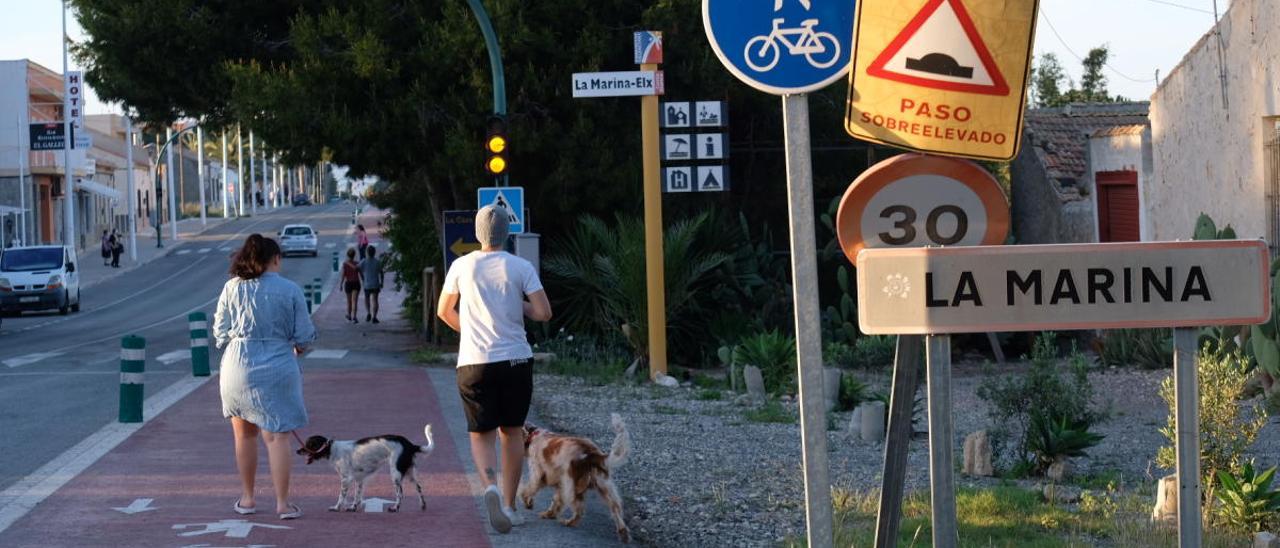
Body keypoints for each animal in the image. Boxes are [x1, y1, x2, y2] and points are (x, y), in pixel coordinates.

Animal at [296, 425, 437, 514]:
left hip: (395, 473)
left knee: (400, 494)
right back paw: (423, 505)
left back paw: (395, 508)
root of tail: (409, 444)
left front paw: (336, 508)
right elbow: (357, 496)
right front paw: (353, 508)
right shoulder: (359, 479)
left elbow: (341, 496)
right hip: (409, 472)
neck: (332, 449)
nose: (297, 451)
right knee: (419, 487)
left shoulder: (346, 479)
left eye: (310, 445)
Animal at [519, 412, 629, 540]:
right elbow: (555, 500)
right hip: (604, 487)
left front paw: (528, 503)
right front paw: (549, 514)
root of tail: (591, 453)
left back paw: (569, 522)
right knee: (615, 508)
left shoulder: (538, 475)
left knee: (579, 510)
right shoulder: (560, 482)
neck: (533, 435)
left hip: (572, 487)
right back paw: (623, 533)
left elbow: (527, 490)